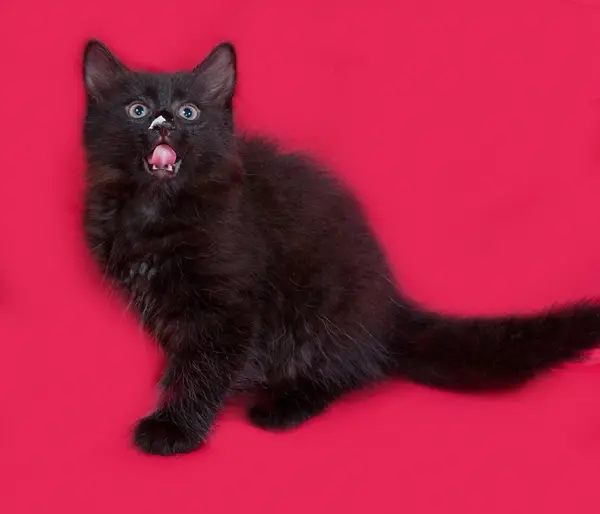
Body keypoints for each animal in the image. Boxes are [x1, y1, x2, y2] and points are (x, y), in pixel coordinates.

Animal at [82, 40, 600, 454]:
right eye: (136, 110)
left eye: (189, 112)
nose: (164, 123)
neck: (155, 209)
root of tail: (389, 305)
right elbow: (185, 356)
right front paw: (169, 391)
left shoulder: (229, 304)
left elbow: (205, 364)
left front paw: (175, 428)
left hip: (320, 313)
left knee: (348, 372)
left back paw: (285, 406)